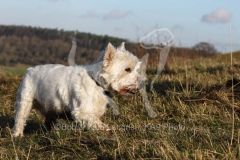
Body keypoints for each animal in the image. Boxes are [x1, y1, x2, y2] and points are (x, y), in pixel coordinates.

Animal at [12, 42, 147, 137]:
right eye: (127, 69)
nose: (143, 82)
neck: (96, 83)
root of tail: (30, 70)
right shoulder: (81, 112)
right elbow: (98, 123)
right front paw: (109, 132)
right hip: (25, 102)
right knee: (20, 119)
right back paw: (17, 135)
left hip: (49, 107)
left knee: (49, 120)